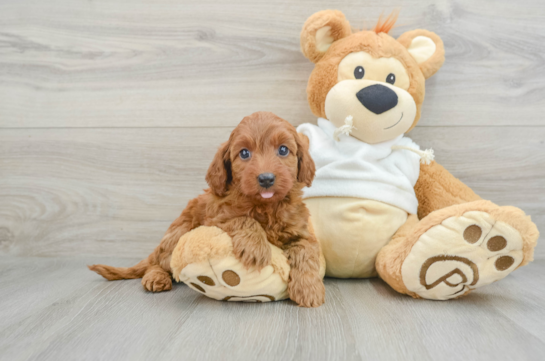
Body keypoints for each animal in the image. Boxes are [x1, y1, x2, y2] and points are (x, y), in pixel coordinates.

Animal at [89, 110, 326, 306]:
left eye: (283, 150)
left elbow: (306, 253)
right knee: (158, 264)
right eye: (244, 153)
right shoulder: (217, 217)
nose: (266, 178)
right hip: (178, 234)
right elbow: (243, 219)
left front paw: (309, 289)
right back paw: (156, 277)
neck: (265, 206)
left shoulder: (301, 232)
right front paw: (255, 247)